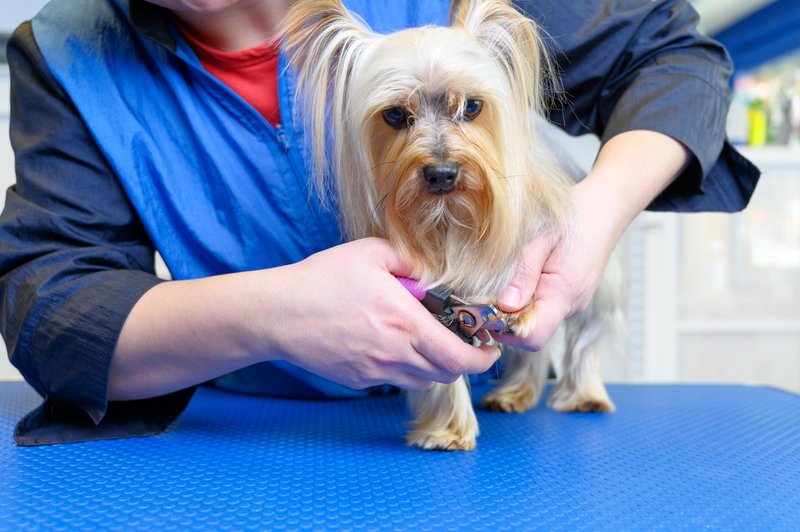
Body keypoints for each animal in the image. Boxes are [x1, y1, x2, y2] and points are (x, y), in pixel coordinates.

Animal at [282, 0, 624, 450]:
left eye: (472, 107)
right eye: (395, 115)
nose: (442, 172)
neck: (448, 219)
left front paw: (524, 310)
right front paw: (447, 430)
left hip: (601, 286)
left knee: (588, 335)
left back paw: (584, 395)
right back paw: (515, 393)